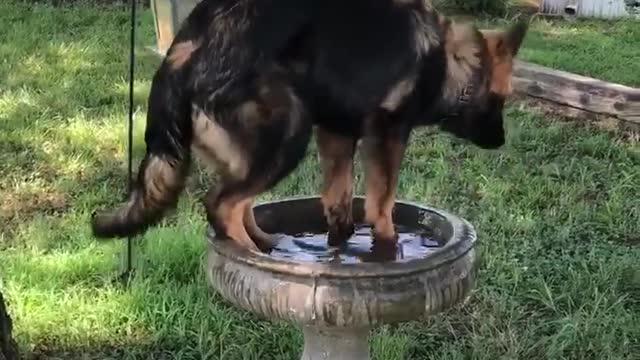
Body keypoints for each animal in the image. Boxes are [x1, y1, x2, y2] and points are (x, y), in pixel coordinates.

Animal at [91, 0, 528, 252]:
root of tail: (182, 52)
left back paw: (267, 243)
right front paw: (387, 245)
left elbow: (338, 194)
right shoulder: (387, 135)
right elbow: (382, 200)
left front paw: (341, 238)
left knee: (239, 201)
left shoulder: (337, 132)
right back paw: (253, 254)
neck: (447, 61)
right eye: (501, 98)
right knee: (221, 203)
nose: (502, 141)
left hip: (264, 144)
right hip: (288, 134)